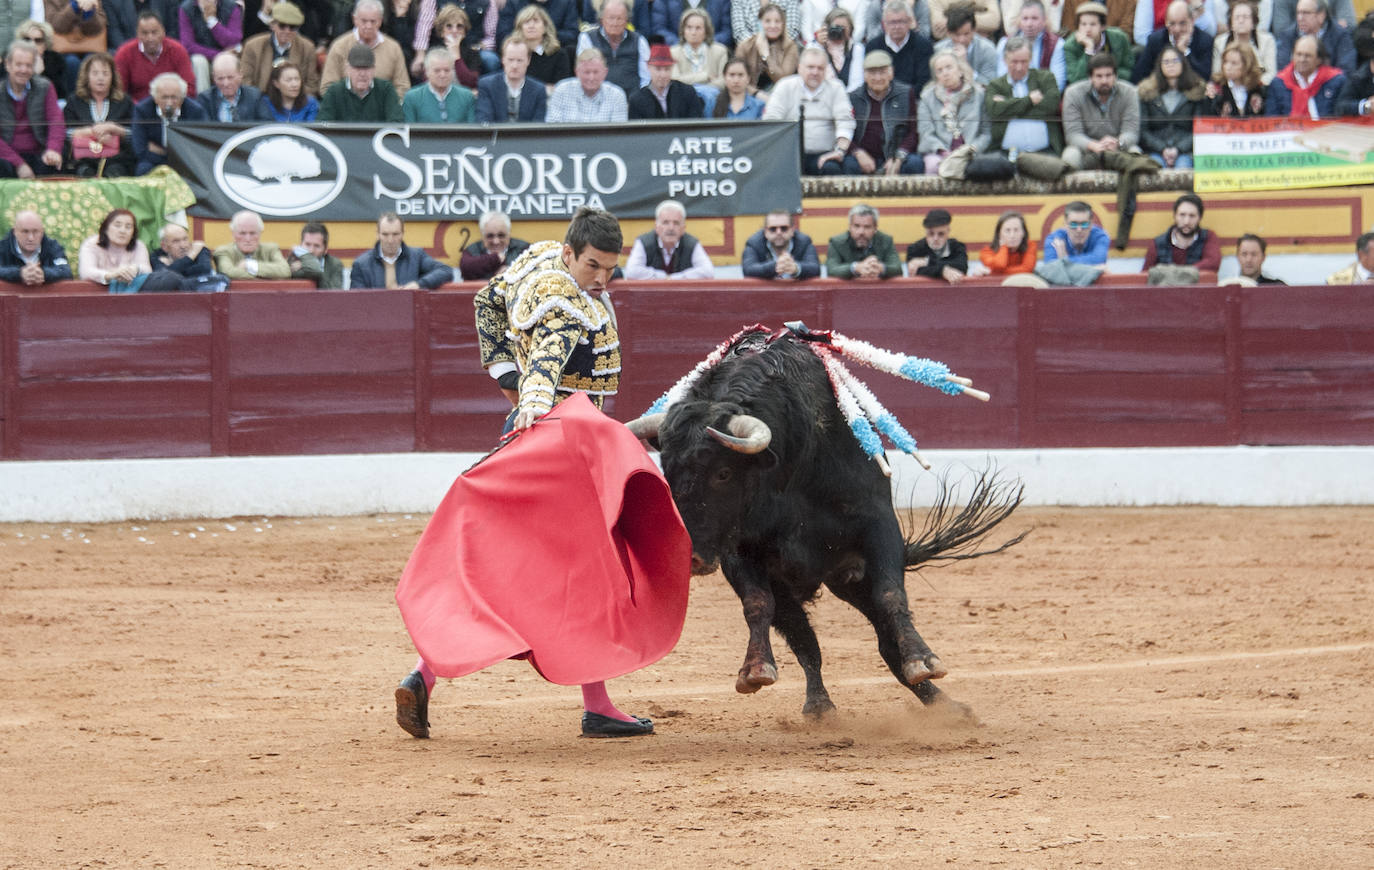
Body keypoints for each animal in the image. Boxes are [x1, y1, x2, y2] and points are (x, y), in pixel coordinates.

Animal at [629, 328, 1027, 714]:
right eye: (667, 470)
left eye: (723, 473)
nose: (690, 556)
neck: (790, 462)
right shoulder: (738, 550)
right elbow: (758, 604)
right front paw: (755, 670)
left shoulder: (878, 526)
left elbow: (891, 595)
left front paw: (923, 660)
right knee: (806, 640)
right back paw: (820, 705)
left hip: (853, 576)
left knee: (886, 639)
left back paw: (944, 702)